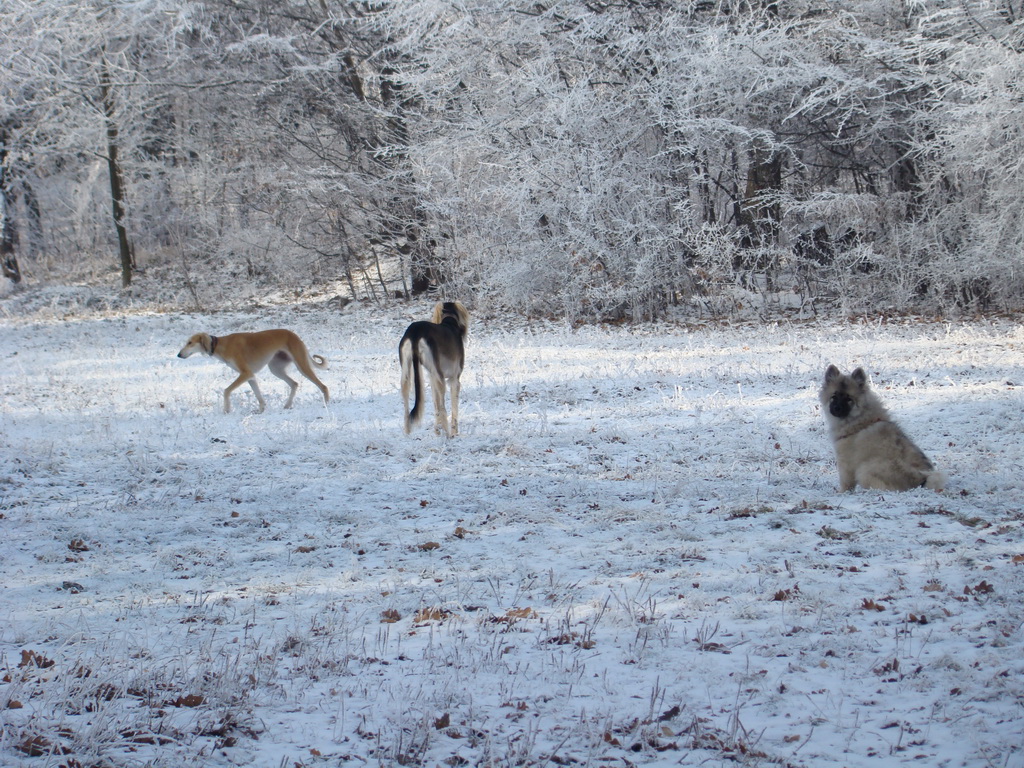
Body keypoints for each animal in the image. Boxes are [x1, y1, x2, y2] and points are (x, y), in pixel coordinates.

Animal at [178, 331, 329, 415]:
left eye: (190, 342)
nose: (178, 355)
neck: (221, 345)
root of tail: (295, 336)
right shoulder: (250, 376)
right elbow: (258, 396)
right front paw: (261, 410)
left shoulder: (245, 373)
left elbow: (226, 391)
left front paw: (226, 410)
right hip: (276, 369)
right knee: (294, 384)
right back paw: (287, 405)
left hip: (302, 366)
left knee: (323, 386)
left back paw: (326, 403)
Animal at [397, 305, 468, 438]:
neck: (449, 322)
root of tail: (415, 331)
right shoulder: (454, 379)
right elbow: (453, 408)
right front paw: (454, 431)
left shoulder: (432, 377)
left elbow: (435, 404)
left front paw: (436, 430)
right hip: (440, 378)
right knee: (443, 407)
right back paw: (447, 434)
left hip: (407, 369)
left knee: (406, 399)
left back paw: (407, 431)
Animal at [819, 364, 946, 493]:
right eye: (834, 397)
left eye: (849, 399)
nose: (837, 408)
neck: (860, 420)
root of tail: (922, 480)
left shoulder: (846, 462)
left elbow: (846, 483)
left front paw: (841, 493)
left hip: (865, 469)